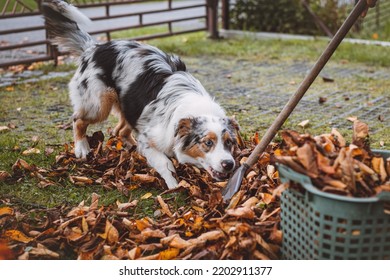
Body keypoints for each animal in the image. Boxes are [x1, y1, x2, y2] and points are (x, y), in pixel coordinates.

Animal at [41, 0, 239, 189]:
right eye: (208, 143)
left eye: (229, 142)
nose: (229, 164)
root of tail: (94, 47)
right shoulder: (149, 137)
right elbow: (165, 163)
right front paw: (174, 185)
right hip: (100, 103)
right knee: (78, 119)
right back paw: (82, 148)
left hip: (130, 106)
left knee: (119, 130)